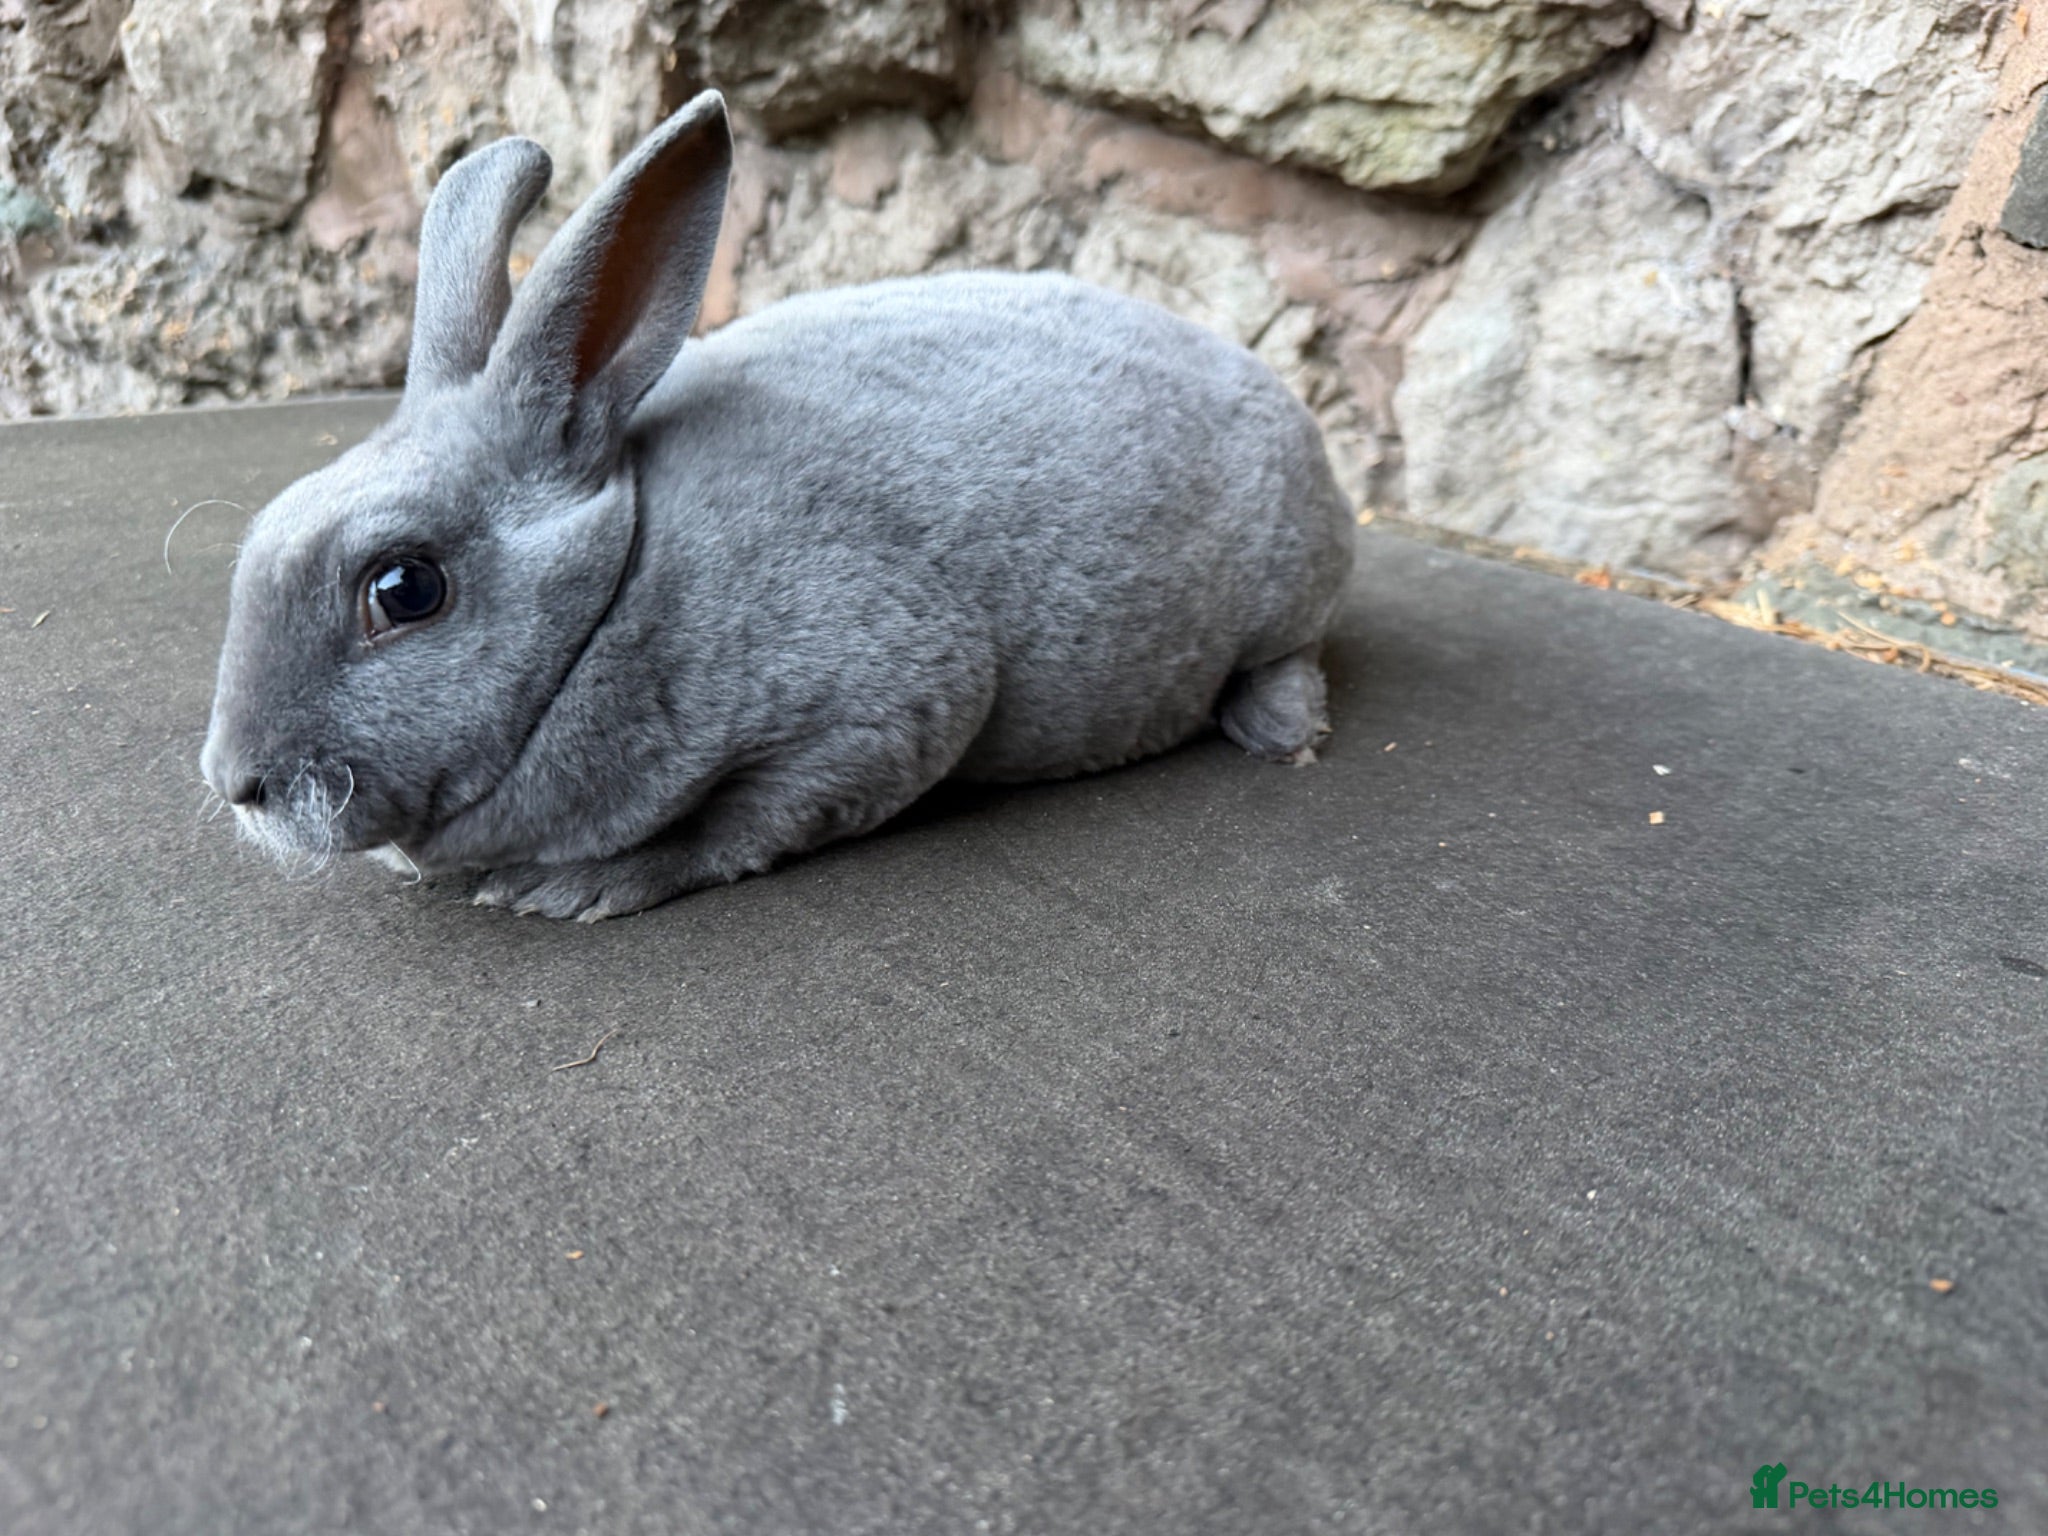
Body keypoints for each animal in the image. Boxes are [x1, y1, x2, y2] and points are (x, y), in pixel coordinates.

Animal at [198, 90, 1356, 921]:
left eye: (405, 588)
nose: (236, 785)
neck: (620, 583)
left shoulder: (890, 702)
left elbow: (745, 823)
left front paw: (576, 888)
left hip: (1279, 587)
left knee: (1289, 652)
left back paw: (1279, 729)